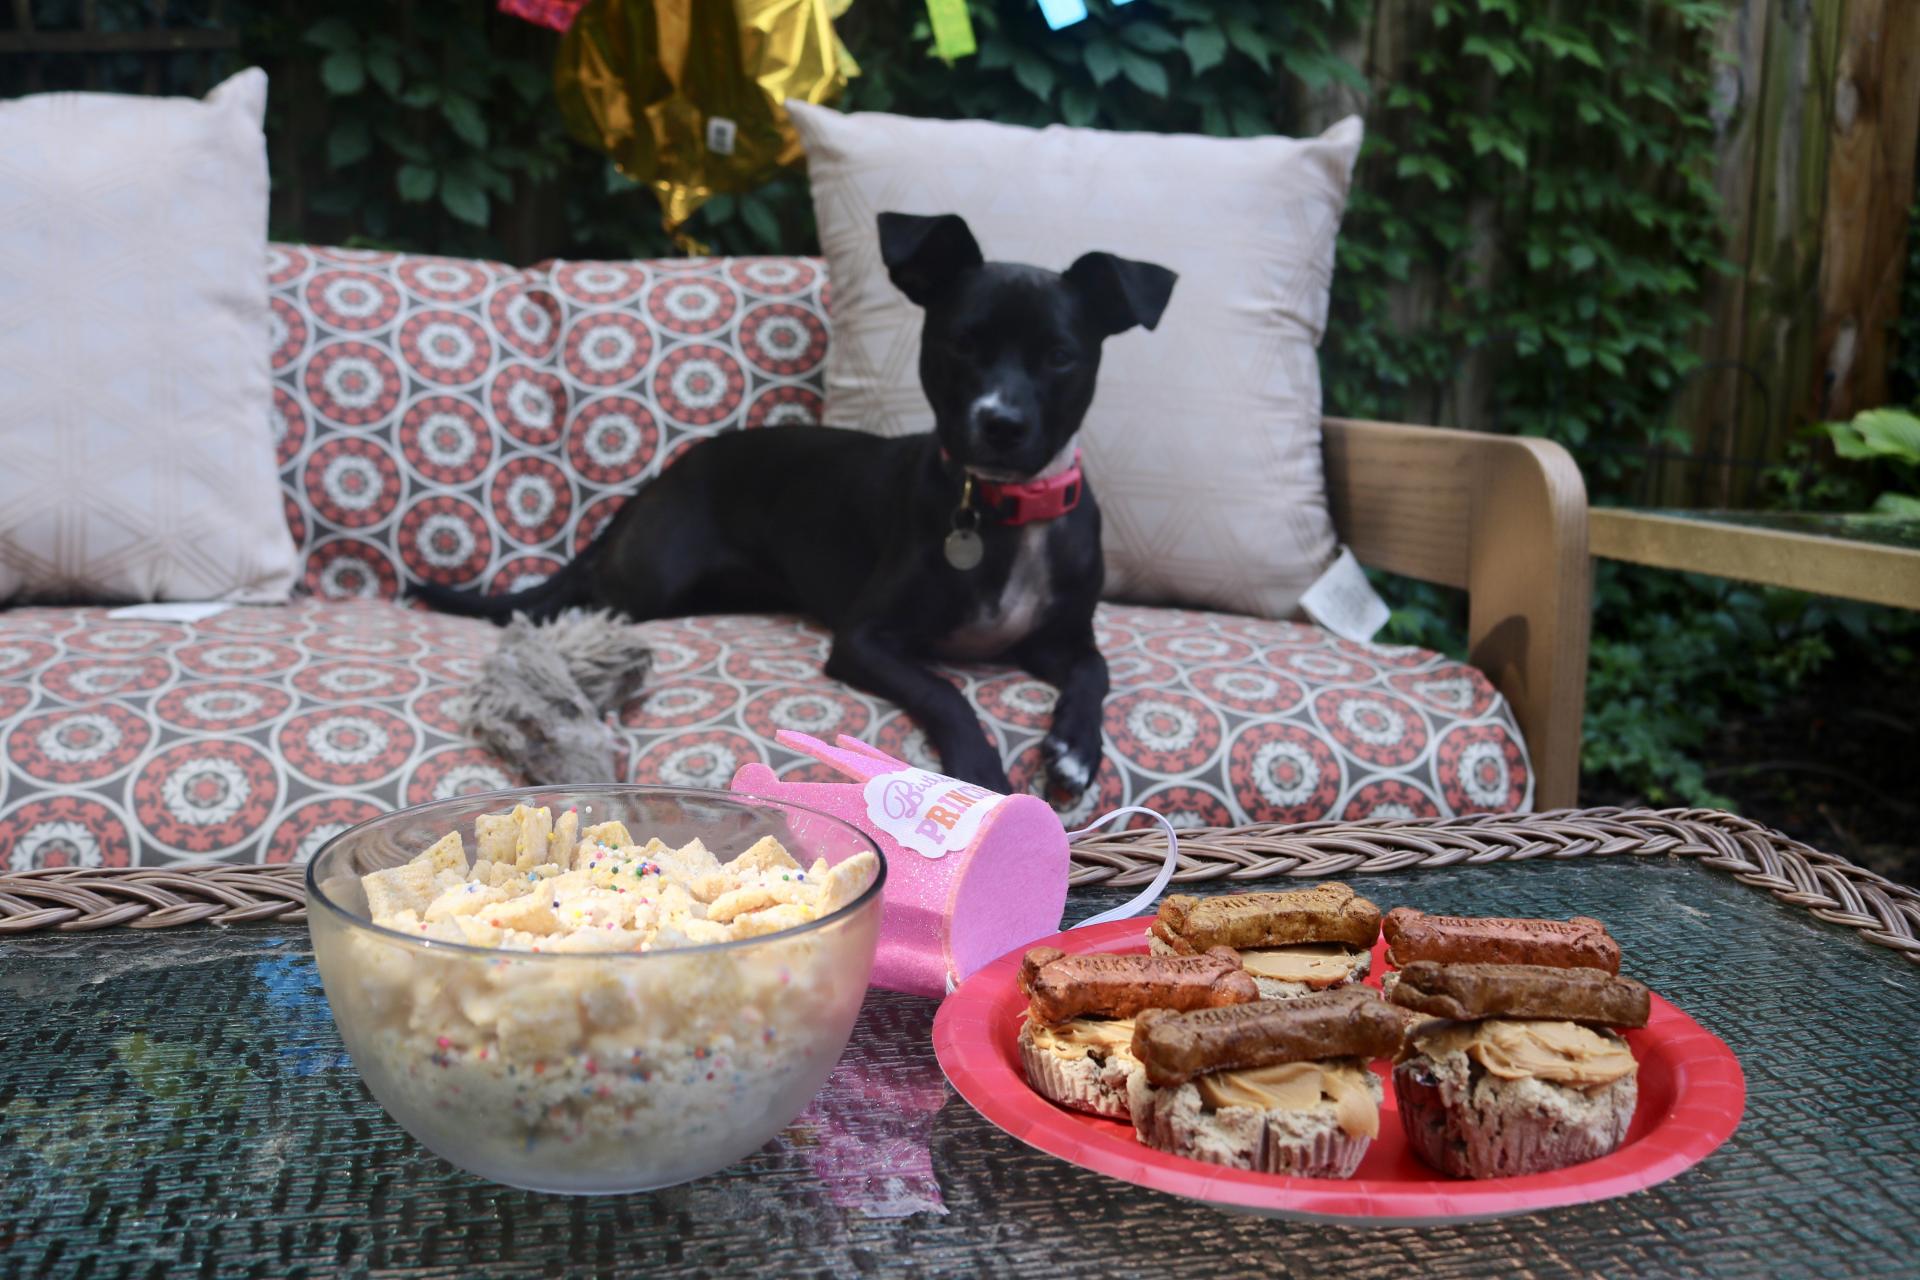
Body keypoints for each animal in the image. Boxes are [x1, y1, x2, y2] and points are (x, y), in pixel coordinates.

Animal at [424, 217, 1167, 802]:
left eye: (1060, 355)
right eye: (962, 343)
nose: (1002, 424)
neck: (1005, 512)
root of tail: (665, 475)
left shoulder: (1059, 639)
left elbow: (1095, 671)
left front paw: (1076, 747)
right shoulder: (864, 638)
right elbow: (944, 691)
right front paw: (978, 769)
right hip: (651, 580)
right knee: (586, 591)